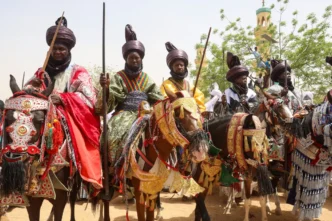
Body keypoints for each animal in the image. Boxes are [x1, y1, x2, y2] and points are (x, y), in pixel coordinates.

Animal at [0, 75, 80, 220]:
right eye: (8, 119)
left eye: (40, 120)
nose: (15, 160)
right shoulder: (32, 200)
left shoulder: (61, 198)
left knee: (72, 201)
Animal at [101, 89, 209, 221]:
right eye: (178, 113)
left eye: (199, 111)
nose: (201, 150)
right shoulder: (139, 189)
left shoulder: (154, 188)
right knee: (104, 200)